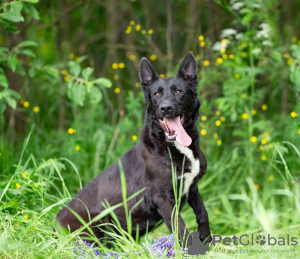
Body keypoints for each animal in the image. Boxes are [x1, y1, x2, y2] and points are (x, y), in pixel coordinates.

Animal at [56, 52, 211, 248]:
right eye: (157, 94)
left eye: (179, 91)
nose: (165, 108)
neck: (172, 146)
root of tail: (53, 229)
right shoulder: (163, 198)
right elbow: (180, 228)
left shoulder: (192, 186)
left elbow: (203, 214)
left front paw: (209, 243)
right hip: (100, 223)